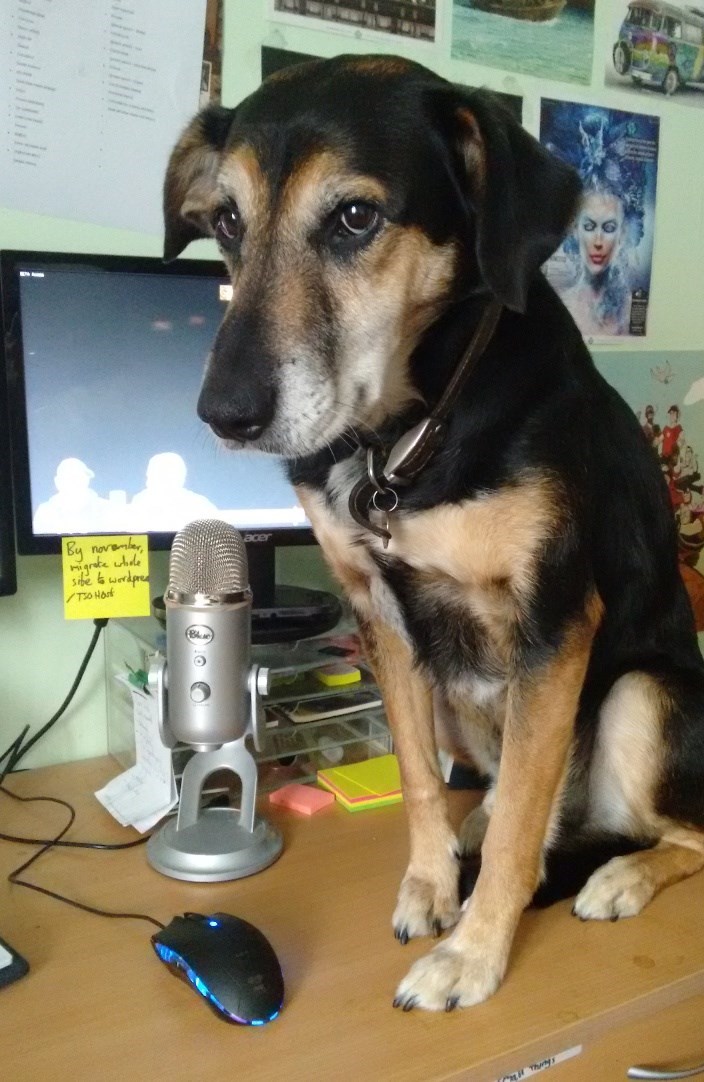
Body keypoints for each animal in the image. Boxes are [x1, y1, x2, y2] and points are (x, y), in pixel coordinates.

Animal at [163, 55, 704, 1012]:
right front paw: (430, 885)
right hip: (461, 696)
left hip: (642, 697)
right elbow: (418, 777)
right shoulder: (381, 618)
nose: (224, 415)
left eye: (355, 217)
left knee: (677, 834)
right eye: (226, 221)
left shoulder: (555, 624)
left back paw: (616, 876)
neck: (404, 441)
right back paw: (483, 825)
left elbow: (526, 823)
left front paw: (475, 951)